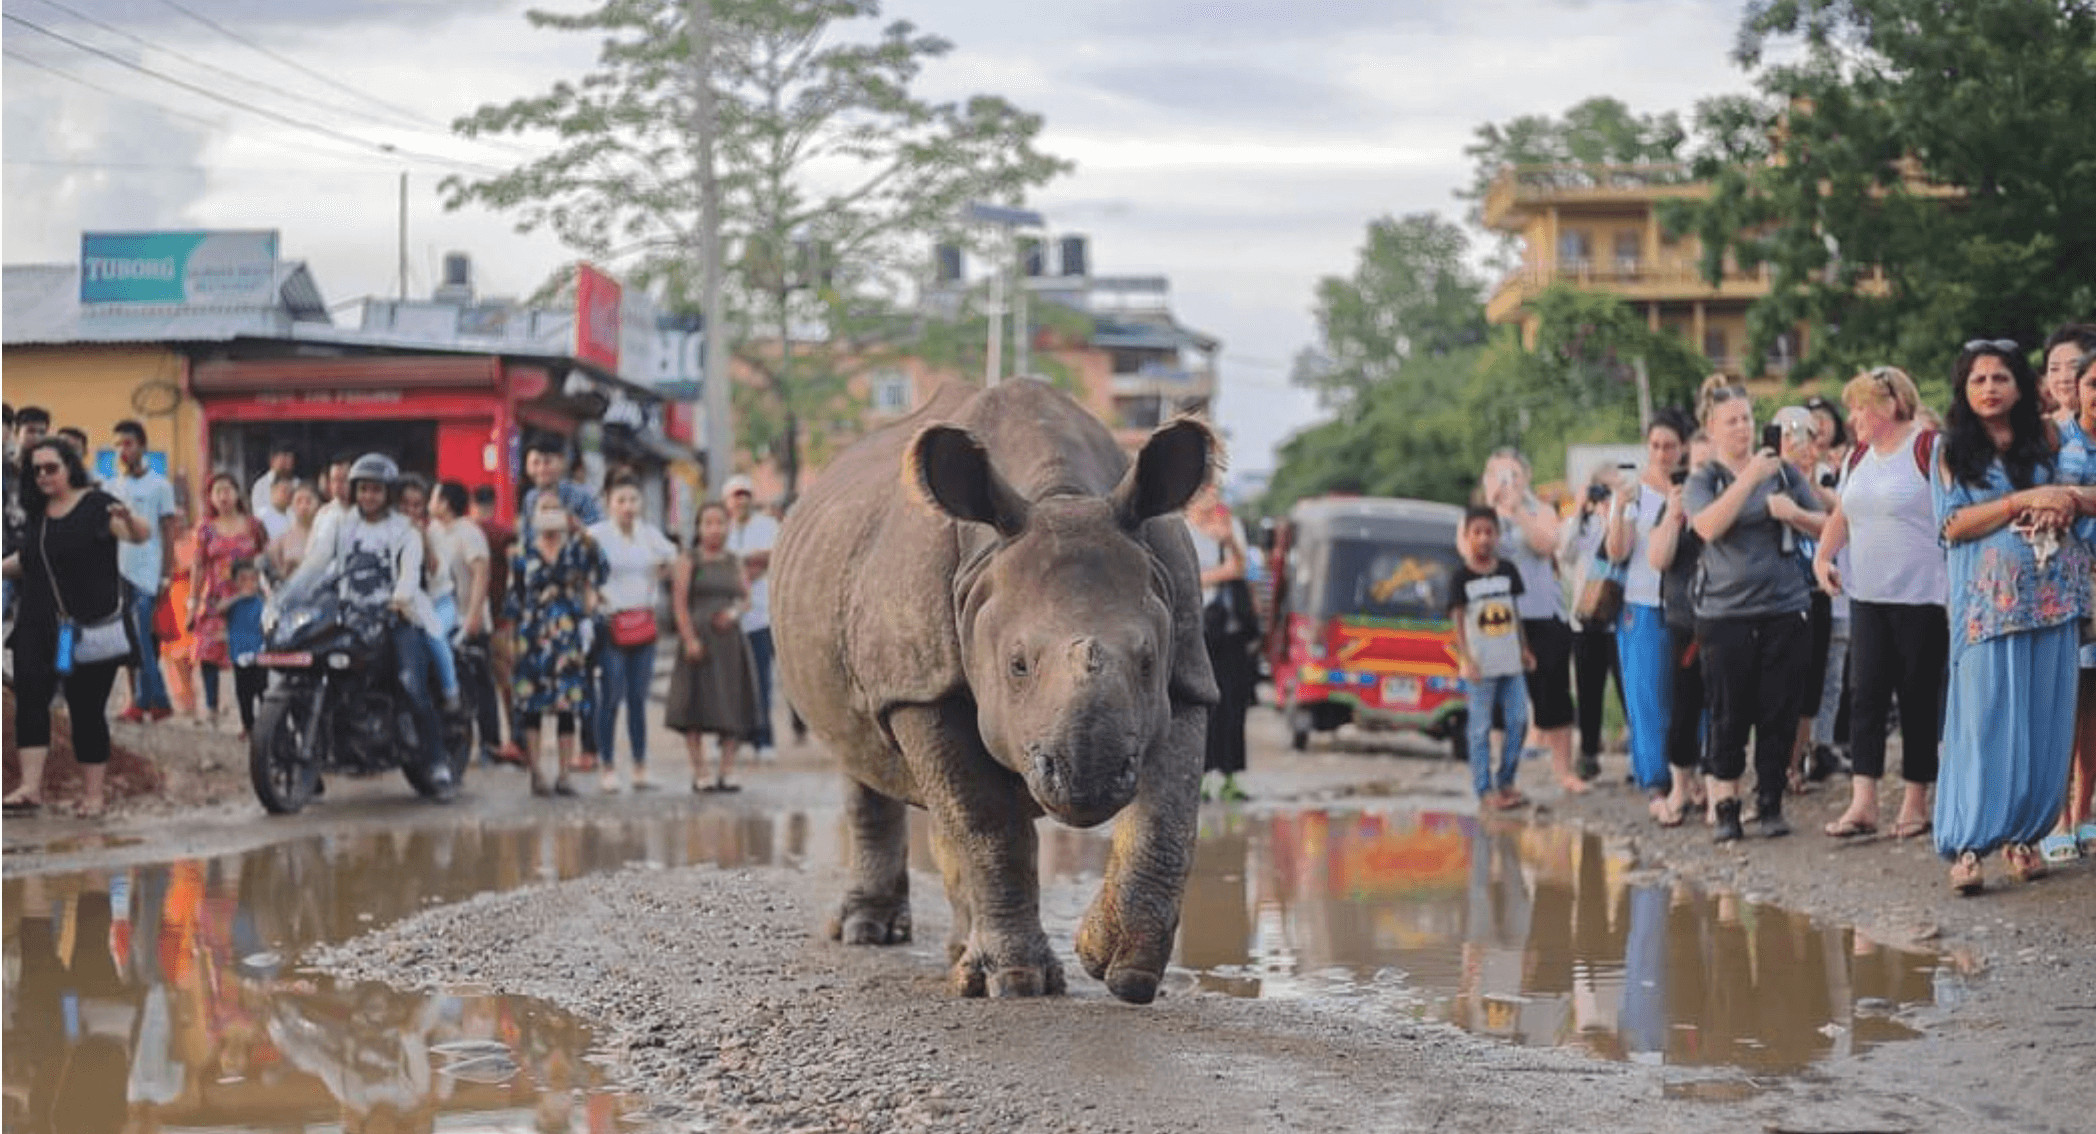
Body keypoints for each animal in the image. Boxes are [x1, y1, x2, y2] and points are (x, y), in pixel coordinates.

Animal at [771, 378, 1218, 1004]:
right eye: (1017, 665)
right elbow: (987, 825)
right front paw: (1018, 982)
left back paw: (961, 952)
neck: (1060, 493)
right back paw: (869, 934)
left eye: (1148, 660)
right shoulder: (919, 687)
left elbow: (1168, 819)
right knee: (867, 766)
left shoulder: (1188, 671)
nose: (1088, 779)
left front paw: (1118, 967)